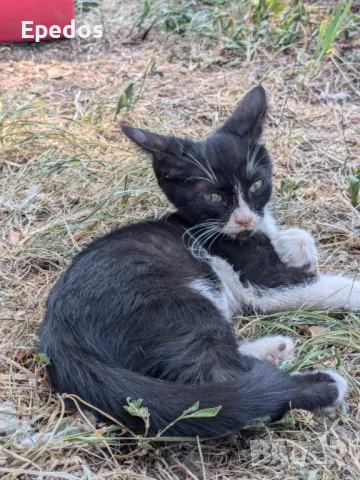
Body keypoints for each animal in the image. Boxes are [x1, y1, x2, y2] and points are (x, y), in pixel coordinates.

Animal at [38, 86, 354, 438]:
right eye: (213, 197)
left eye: (257, 184)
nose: (245, 219)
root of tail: (60, 339)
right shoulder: (258, 277)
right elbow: (314, 285)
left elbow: (294, 240)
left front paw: (294, 244)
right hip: (170, 304)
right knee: (214, 381)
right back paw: (320, 385)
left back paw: (273, 351)